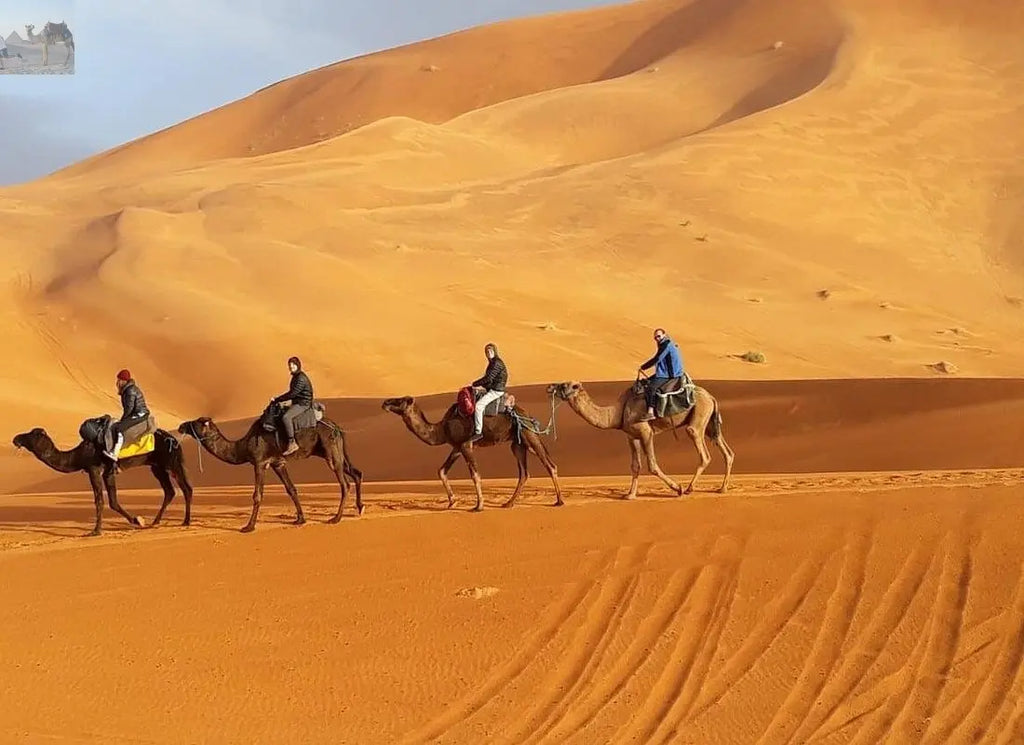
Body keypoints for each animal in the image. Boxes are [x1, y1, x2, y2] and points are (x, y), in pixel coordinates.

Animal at [11, 427, 194, 536]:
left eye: (32, 434)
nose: (16, 438)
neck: (77, 455)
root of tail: (175, 440)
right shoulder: (108, 472)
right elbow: (113, 501)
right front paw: (137, 521)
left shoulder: (94, 469)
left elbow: (99, 500)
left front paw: (96, 531)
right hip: (157, 466)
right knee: (169, 491)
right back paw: (155, 522)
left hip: (171, 461)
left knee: (186, 488)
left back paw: (186, 521)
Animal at [177, 414, 363, 533]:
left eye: (196, 422)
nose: (181, 426)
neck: (242, 447)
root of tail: (337, 427)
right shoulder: (278, 463)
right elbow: (291, 489)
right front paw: (300, 519)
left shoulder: (259, 463)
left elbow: (257, 495)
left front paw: (248, 527)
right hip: (336, 451)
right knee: (356, 473)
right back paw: (359, 508)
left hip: (330, 450)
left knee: (345, 483)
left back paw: (336, 518)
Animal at [381, 396, 562, 511]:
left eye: (400, 400)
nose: (385, 403)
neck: (441, 429)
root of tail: (528, 414)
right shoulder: (456, 447)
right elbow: (441, 471)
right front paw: (452, 502)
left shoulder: (466, 445)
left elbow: (475, 475)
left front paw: (478, 506)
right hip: (518, 443)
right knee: (524, 472)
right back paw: (508, 503)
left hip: (528, 434)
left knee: (549, 464)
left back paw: (559, 501)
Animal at [547, 380, 734, 498]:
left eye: (564, 384)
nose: (549, 387)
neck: (617, 413)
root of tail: (711, 397)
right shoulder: (631, 436)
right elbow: (635, 466)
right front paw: (630, 495)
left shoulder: (645, 432)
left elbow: (652, 465)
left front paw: (677, 488)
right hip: (709, 423)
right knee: (727, 451)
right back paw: (722, 489)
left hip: (698, 418)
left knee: (703, 453)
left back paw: (689, 488)